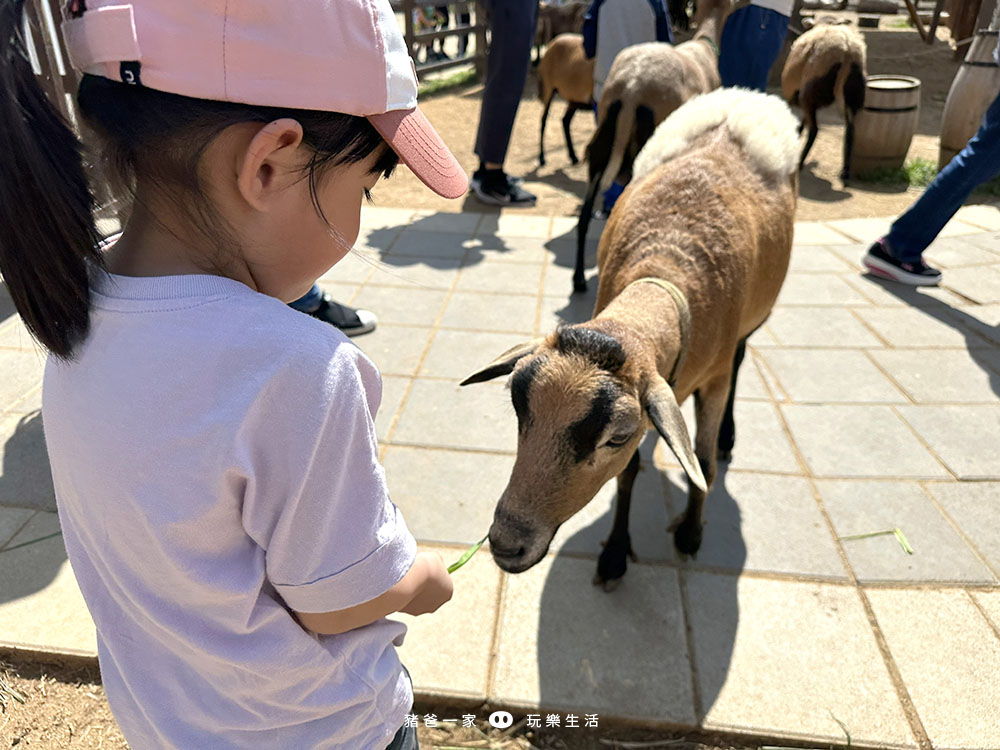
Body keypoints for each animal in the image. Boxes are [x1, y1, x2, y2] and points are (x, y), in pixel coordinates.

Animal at [460, 91, 796, 592]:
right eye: (520, 409)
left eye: (616, 436)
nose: (506, 544)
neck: (662, 275)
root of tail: (744, 97)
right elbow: (631, 473)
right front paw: (616, 553)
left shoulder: (710, 378)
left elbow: (702, 462)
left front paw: (691, 533)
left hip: (755, 320)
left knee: (739, 359)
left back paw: (728, 435)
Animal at [540, 33, 592, 166]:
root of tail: (552, 42)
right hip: (548, 88)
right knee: (543, 119)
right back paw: (542, 158)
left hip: (573, 99)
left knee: (565, 120)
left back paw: (573, 156)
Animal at [576, 0, 732, 296]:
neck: (704, 47)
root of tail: (632, 88)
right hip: (648, 144)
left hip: (603, 141)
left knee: (585, 211)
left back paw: (578, 280)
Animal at [780, 22, 868, 180]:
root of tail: (848, 52)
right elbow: (803, 122)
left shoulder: (795, 99)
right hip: (852, 95)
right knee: (850, 130)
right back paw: (845, 171)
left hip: (810, 91)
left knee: (814, 130)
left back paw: (800, 163)